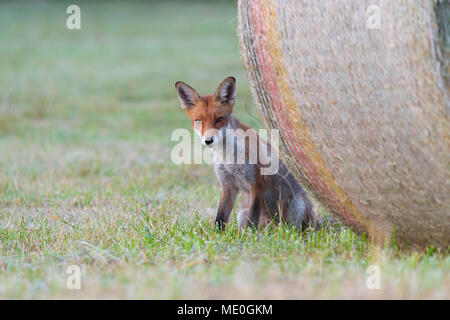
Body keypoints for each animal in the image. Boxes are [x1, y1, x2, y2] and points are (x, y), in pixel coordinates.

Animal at [175, 76, 312, 231]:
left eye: (219, 119)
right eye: (198, 121)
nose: (208, 140)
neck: (227, 158)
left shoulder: (257, 183)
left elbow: (252, 219)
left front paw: (248, 235)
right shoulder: (228, 185)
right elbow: (220, 218)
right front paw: (216, 235)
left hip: (297, 207)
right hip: (242, 213)